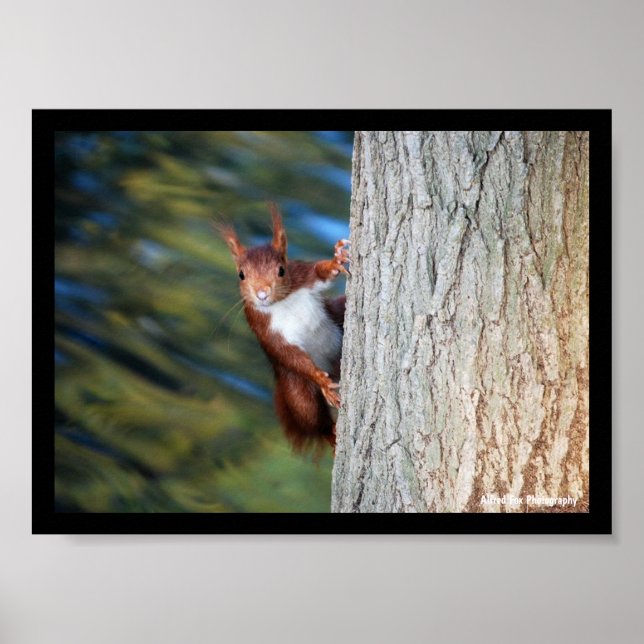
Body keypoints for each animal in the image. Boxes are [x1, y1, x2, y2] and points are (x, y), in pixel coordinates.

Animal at [220, 204, 350, 454]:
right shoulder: (264, 328)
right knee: (314, 420)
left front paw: (336, 260)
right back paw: (332, 434)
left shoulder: (303, 274)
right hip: (297, 390)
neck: (282, 302)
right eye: (241, 274)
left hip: (338, 318)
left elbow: (320, 272)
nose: (262, 293)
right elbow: (287, 352)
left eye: (281, 270)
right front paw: (321, 380)